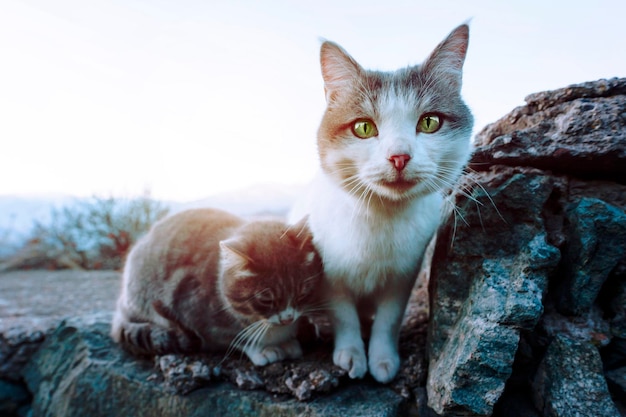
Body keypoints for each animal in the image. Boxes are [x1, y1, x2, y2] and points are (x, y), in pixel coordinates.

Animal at [109, 208, 322, 364]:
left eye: (302, 292)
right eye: (265, 299)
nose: (288, 318)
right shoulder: (193, 312)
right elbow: (231, 337)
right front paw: (264, 348)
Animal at [290, 24, 470, 382]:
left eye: (430, 122)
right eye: (363, 127)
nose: (399, 156)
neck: (381, 219)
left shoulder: (405, 274)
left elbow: (388, 319)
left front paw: (383, 359)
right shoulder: (330, 274)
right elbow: (344, 316)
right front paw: (351, 354)